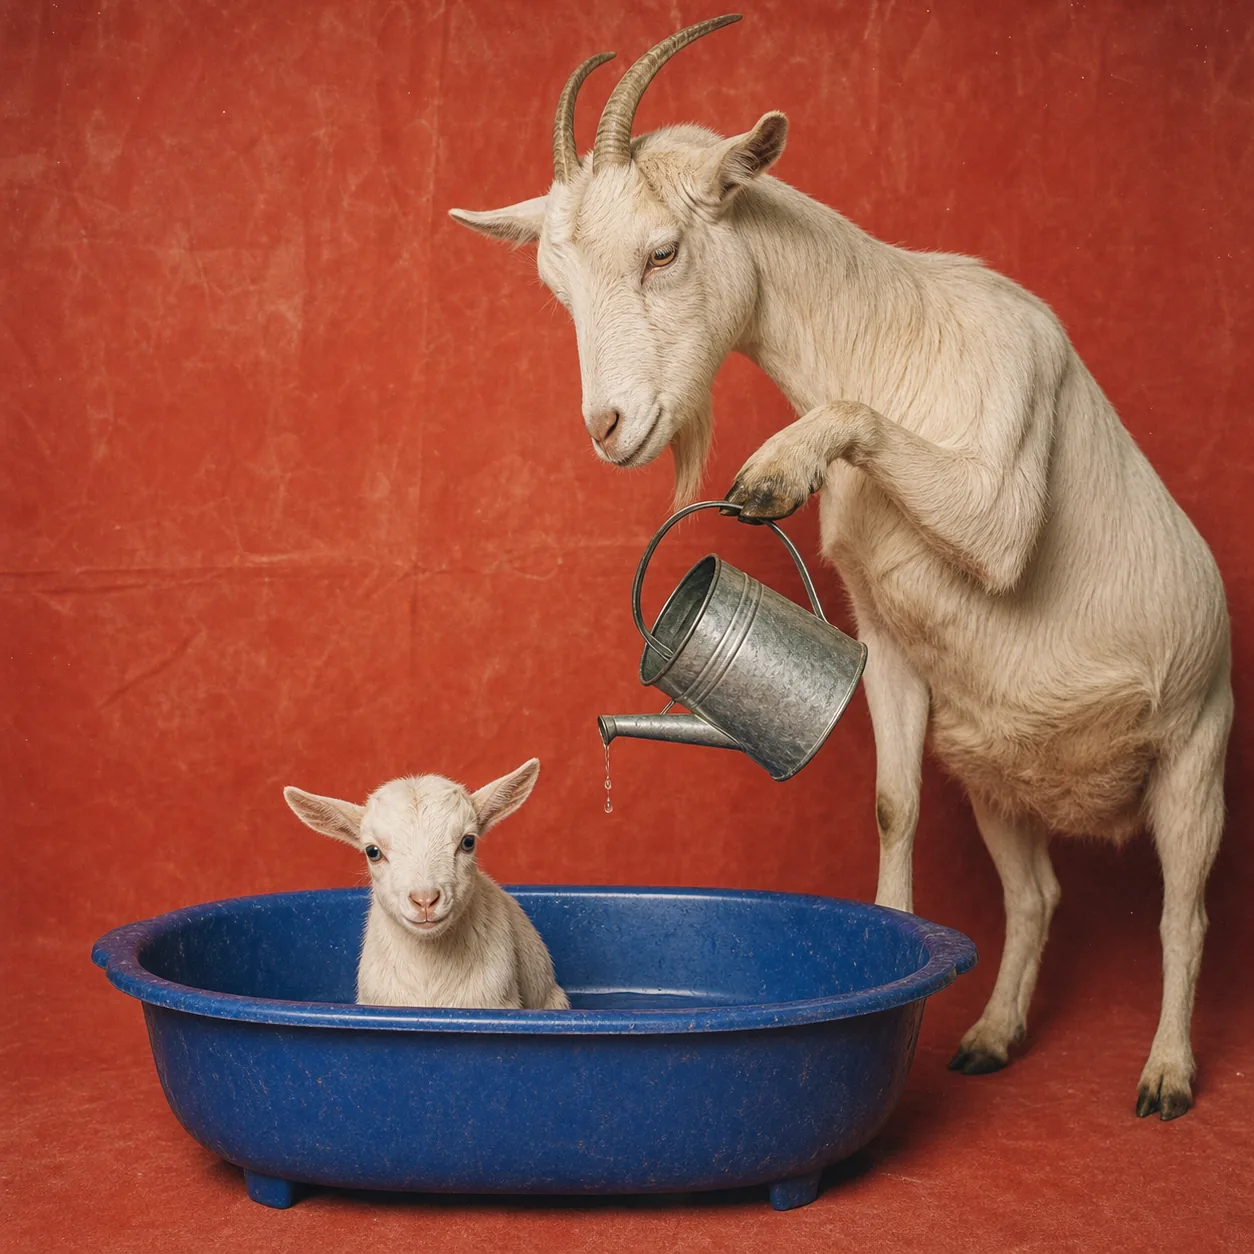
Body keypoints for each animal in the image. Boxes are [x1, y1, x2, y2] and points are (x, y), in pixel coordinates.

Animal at [450, 15, 1232, 1119]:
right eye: (554, 289)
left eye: (662, 250)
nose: (608, 427)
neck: (897, 340)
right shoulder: (886, 644)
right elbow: (892, 806)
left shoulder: (1002, 502)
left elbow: (924, 478)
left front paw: (775, 472)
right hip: (996, 775)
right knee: (1038, 892)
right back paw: (994, 1035)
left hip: (1196, 753)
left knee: (1182, 908)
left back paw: (1165, 1074)